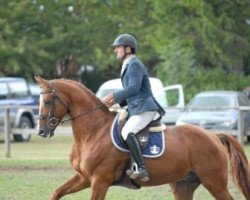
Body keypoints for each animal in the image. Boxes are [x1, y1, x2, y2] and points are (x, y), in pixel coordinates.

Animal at [34, 76, 250, 199]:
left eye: (47, 101)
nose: (42, 131)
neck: (92, 131)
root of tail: (213, 135)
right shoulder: (84, 178)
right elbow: (56, 192)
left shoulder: (99, 181)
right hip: (183, 186)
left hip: (214, 182)